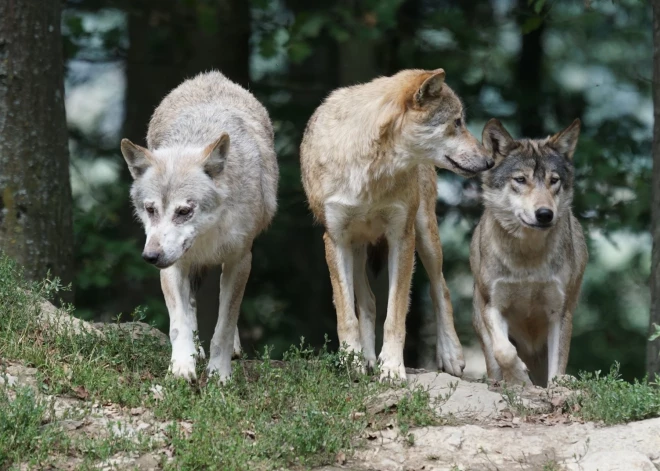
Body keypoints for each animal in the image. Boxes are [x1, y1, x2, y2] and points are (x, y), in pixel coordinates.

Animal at [120, 72, 278, 386]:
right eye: (151, 209)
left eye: (184, 211)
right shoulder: (172, 265)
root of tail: (210, 75)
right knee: (191, 305)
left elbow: (224, 325)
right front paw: (182, 367)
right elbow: (178, 323)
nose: (150, 257)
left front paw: (220, 374)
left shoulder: (240, 260)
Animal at [300, 69, 496, 380]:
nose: (490, 161)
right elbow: (346, 314)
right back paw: (367, 359)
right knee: (367, 301)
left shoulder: (402, 237)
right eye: (457, 122)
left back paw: (451, 355)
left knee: (441, 288)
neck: (371, 170)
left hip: (426, 236)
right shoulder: (335, 240)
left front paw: (391, 367)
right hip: (357, 247)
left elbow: (395, 314)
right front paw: (352, 361)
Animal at [470, 118, 588, 388]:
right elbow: (504, 351)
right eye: (521, 180)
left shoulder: (560, 312)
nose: (544, 214)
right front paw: (519, 378)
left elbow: (557, 368)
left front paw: (555, 386)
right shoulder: (493, 305)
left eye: (554, 180)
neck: (528, 258)